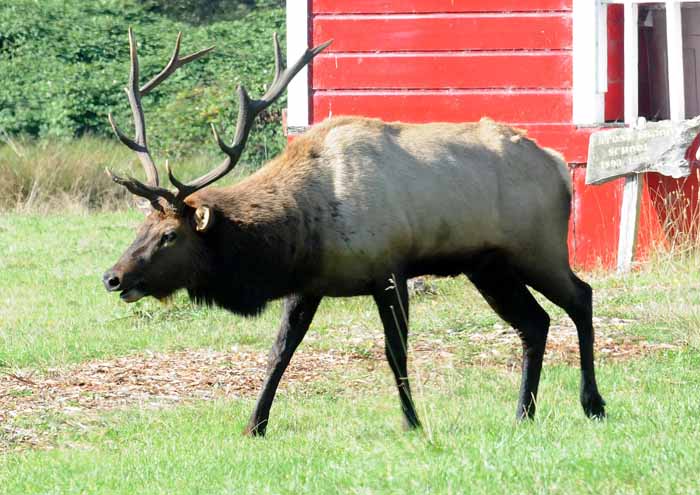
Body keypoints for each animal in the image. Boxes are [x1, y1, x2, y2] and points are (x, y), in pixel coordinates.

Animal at [101, 29, 604, 436]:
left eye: (170, 235)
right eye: (141, 226)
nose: (113, 277)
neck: (299, 229)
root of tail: (558, 166)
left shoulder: (388, 270)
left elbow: (395, 351)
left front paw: (411, 421)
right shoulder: (307, 285)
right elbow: (279, 352)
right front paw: (254, 424)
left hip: (538, 248)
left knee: (581, 296)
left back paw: (592, 404)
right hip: (488, 266)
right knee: (534, 323)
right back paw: (523, 413)